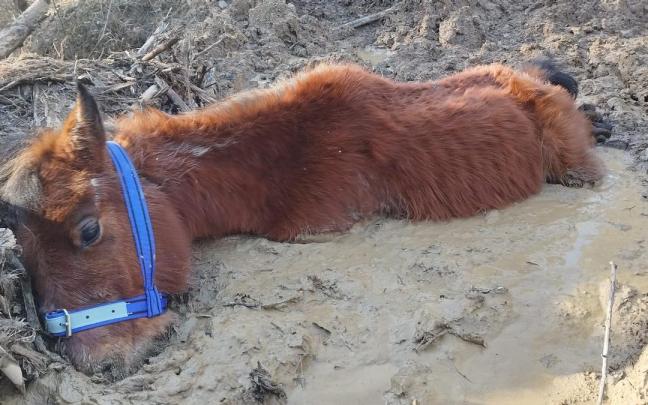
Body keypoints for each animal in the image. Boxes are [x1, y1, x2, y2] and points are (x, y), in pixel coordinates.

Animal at [0, 60, 605, 376]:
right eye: (23, 254)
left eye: (89, 230)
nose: (96, 362)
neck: (273, 158)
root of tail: (535, 81)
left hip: (578, 168)